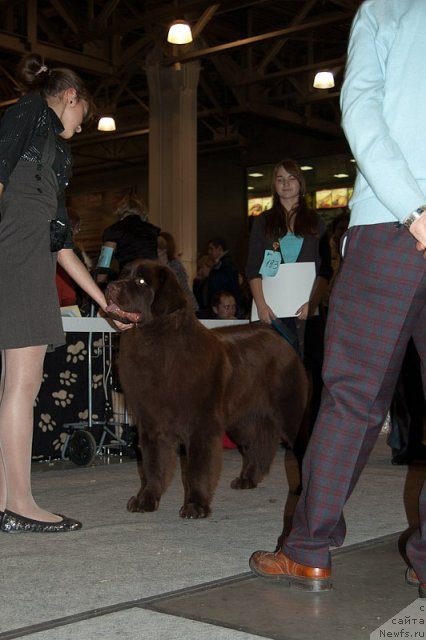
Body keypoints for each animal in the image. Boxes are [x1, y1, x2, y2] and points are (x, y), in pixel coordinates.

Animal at [106, 258, 306, 516]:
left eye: (141, 282)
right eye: (124, 274)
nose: (110, 286)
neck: (155, 344)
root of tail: (281, 339)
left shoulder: (201, 425)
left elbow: (198, 469)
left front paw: (195, 505)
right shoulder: (152, 424)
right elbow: (153, 466)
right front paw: (145, 501)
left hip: (289, 412)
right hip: (242, 420)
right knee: (258, 444)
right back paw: (247, 479)